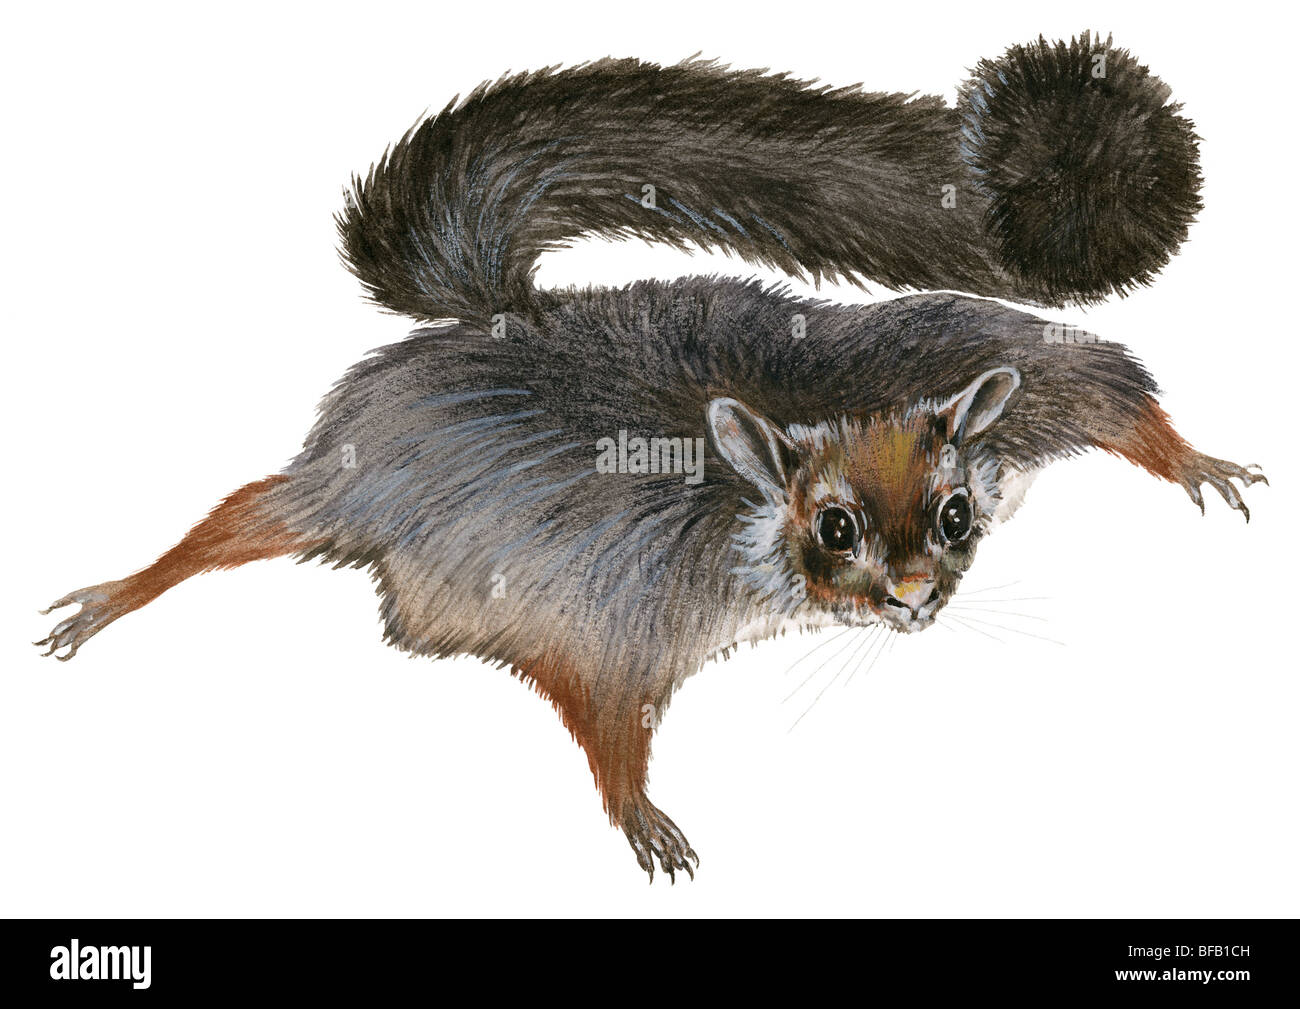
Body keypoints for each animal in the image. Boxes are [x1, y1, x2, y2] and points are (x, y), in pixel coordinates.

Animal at [38, 33, 1264, 880]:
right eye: (834, 528)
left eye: (958, 514)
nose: (918, 598)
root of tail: (505, 322)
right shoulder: (615, 602)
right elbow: (602, 706)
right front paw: (636, 809)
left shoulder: (964, 361)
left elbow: (1092, 379)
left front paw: (1190, 457)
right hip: (362, 470)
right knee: (246, 514)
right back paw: (125, 590)